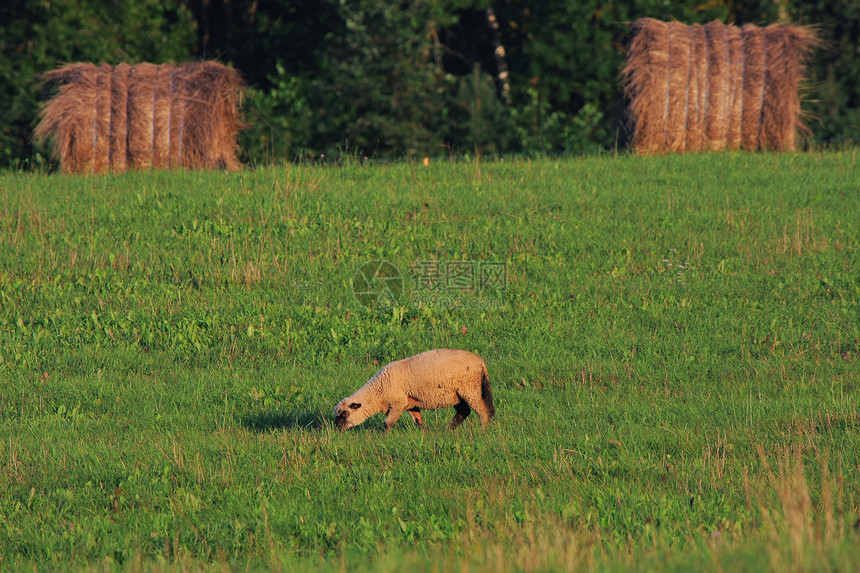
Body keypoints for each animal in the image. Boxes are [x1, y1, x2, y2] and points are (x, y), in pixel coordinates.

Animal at [336, 348, 498, 428]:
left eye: (345, 414)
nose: (337, 429)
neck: (377, 392)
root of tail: (480, 362)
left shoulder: (398, 403)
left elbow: (388, 423)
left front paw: (383, 438)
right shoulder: (410, 403)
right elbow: (418, 421)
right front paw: (424, 434)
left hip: (469, 389)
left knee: (483, 412)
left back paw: (483, 431)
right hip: (456, 394)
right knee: (464, 411)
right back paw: (448, 430)